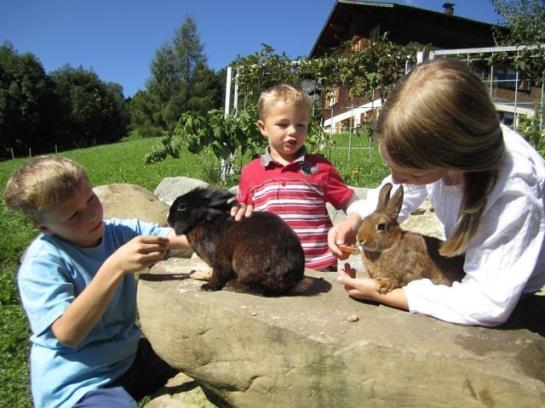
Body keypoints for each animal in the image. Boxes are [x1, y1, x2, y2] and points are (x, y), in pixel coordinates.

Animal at [168, 186, 308, 294]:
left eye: (182, 206)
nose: (169, 220)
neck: (202, 221)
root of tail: (294, 277)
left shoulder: (219, 259)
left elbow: (219, 273)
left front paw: (208, 287)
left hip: (248, 261)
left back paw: (232, 285)